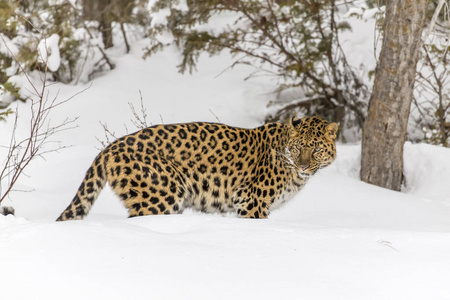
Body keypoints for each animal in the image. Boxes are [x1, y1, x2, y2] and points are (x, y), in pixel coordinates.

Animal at [56, 115, 338, 220]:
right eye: (297, 148)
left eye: (316, 149)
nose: (303, 167)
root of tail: (110, 147)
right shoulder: (252, 201)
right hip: (163, 196)